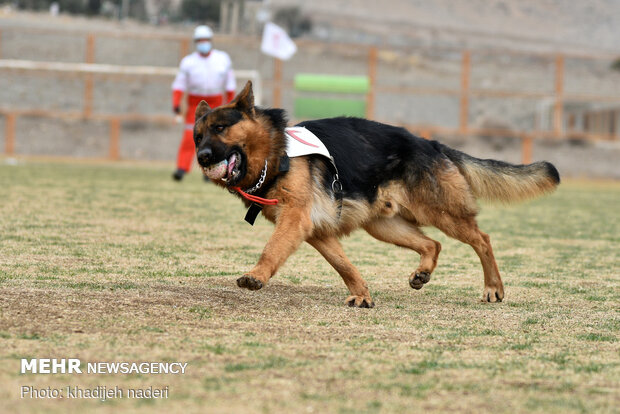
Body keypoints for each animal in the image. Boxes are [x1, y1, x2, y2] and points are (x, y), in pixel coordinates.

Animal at [195, 81, 560, 308]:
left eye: (221, 128)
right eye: (197, 136)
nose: (201, 157)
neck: (277, 153)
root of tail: (432, 144)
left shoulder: (295, 221)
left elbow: (271, 251)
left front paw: (256, 276)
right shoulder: (317, 232)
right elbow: (344, 266)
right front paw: (362, 296)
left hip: (441, 214)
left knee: (482, 239)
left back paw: (493, 288)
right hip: (384, 226)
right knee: (432, 243)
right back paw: (423, 273)